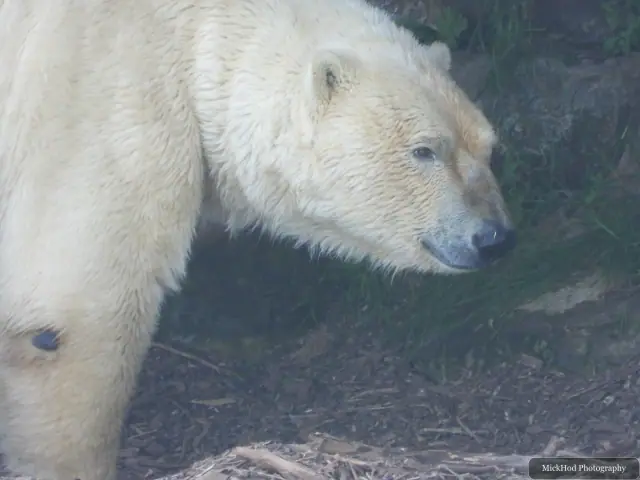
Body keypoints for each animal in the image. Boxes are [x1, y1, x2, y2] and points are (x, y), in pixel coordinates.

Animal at [0, 0, 516, 478]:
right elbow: (74, 311)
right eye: (424, 149)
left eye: (489, 148)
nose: (493, 237)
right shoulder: (104, 100)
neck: (191, 31)